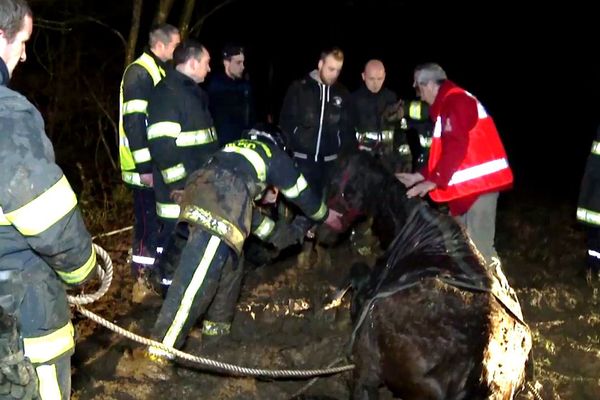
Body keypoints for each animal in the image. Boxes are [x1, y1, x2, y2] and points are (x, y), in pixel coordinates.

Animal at [326, 153, 532, 400]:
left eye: (335, 182)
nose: (323, 231)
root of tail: (482, 370)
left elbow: (356, 273)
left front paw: (333, 300)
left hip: (372, 370)